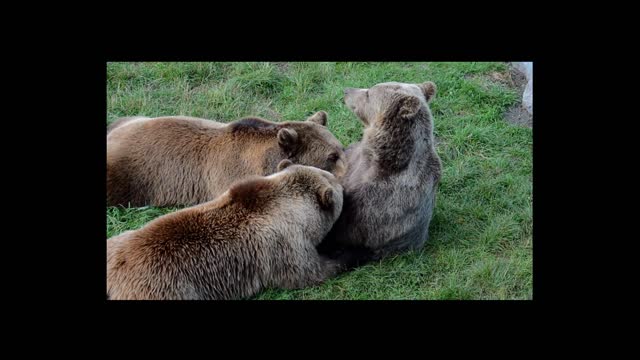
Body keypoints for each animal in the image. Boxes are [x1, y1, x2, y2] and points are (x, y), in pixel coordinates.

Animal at [107, 162, 344, 300]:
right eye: (337, 183)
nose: (341, 182)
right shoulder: (285, 245)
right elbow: (310, 272)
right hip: (165, 289)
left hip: (116, 242)